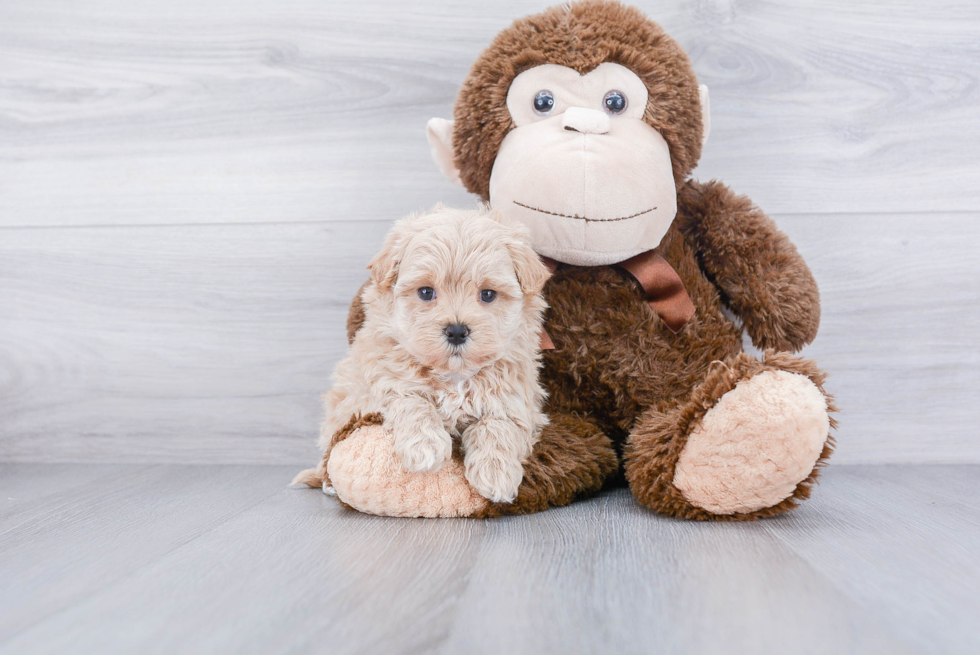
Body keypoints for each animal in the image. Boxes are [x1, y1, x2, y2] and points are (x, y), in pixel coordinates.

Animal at [296, 208, 552, 504]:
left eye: (488, 294)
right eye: (426, 292)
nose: (456, 331)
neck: (454, 376)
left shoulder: (516, 398)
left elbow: (500, 424)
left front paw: (496, 473)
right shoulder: (377, 386)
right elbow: (411, 400)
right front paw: (425, 446)